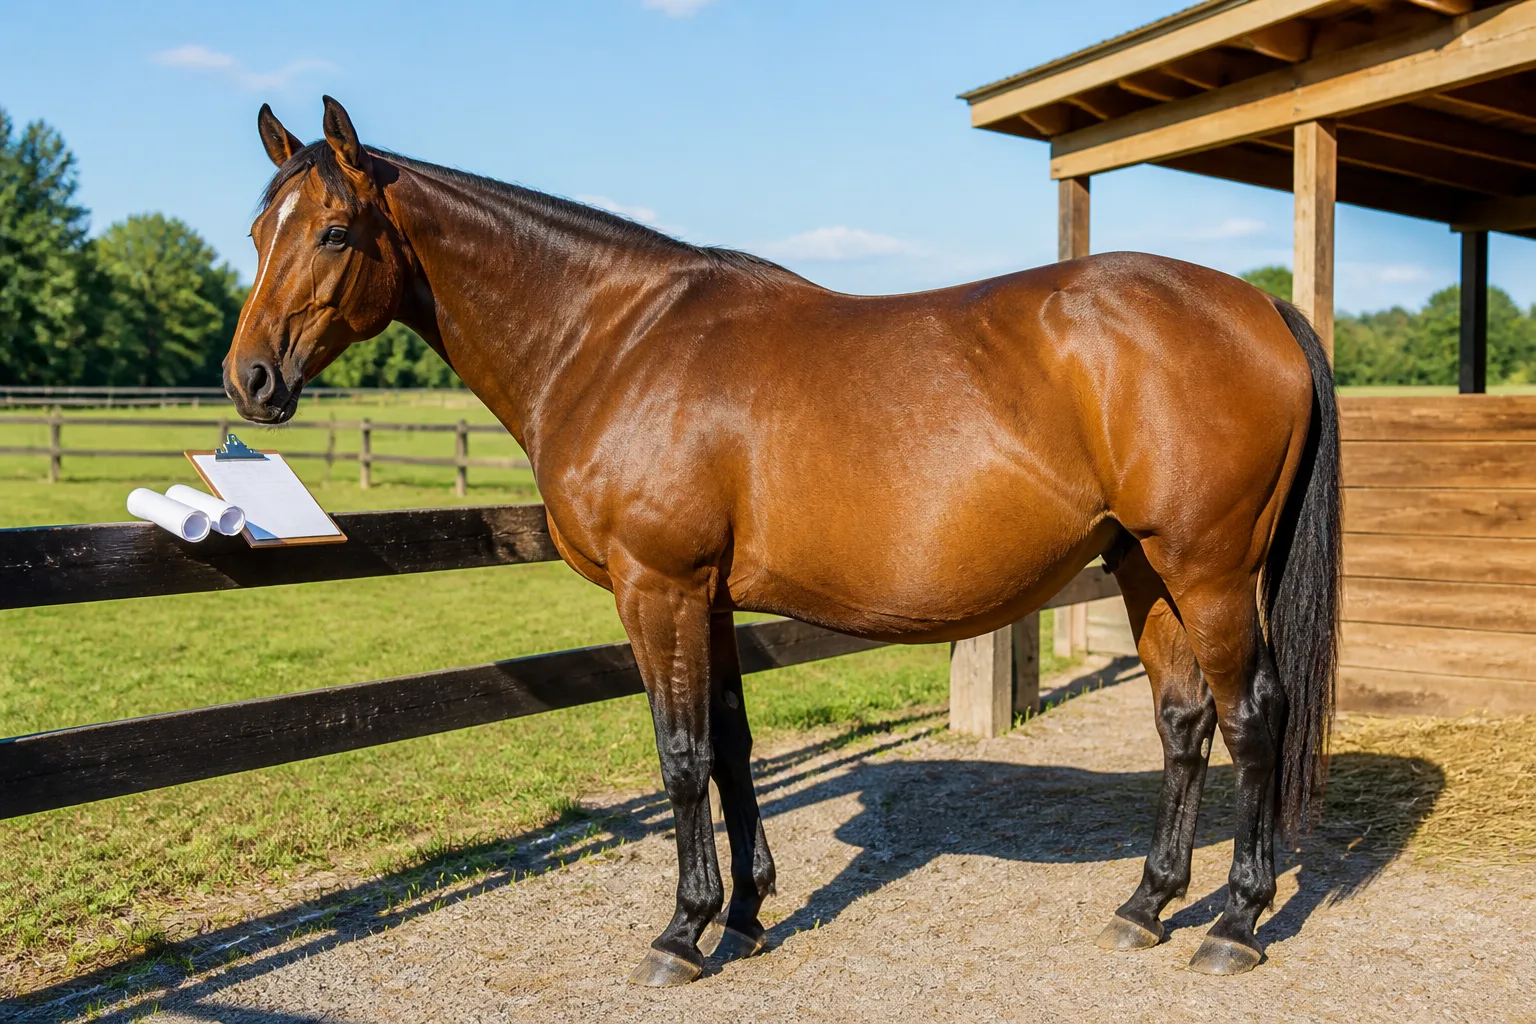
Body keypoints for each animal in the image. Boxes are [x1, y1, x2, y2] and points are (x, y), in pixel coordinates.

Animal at [225, 97, 1339, 985]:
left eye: (334, 232)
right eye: (256, 230)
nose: (250, 380)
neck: (615, 341)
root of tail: (1260, 306)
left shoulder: (657, 586)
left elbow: (678, 758)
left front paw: (682, 932)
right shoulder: (708, 597)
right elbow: (729, 747)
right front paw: (748, 915)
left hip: (1210, 571)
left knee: (1253, 717)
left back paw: (1236, 922)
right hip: (1144, 566)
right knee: (1184, 721)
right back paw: (1146, 904)